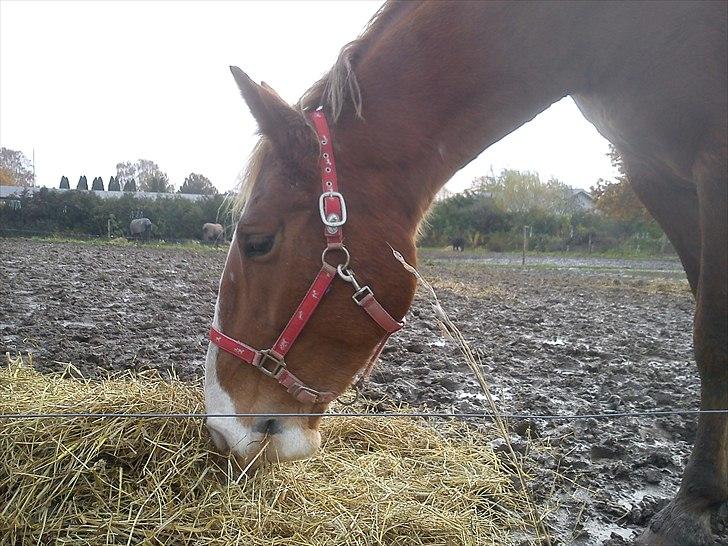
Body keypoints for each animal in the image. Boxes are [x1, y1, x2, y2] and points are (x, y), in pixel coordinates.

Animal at [206, 2, 728, 540]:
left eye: (256, 242)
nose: (220, 431)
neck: (605, 33)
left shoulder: (714, 162)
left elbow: (712, 336)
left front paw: (691, 509)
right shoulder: (653, 171)